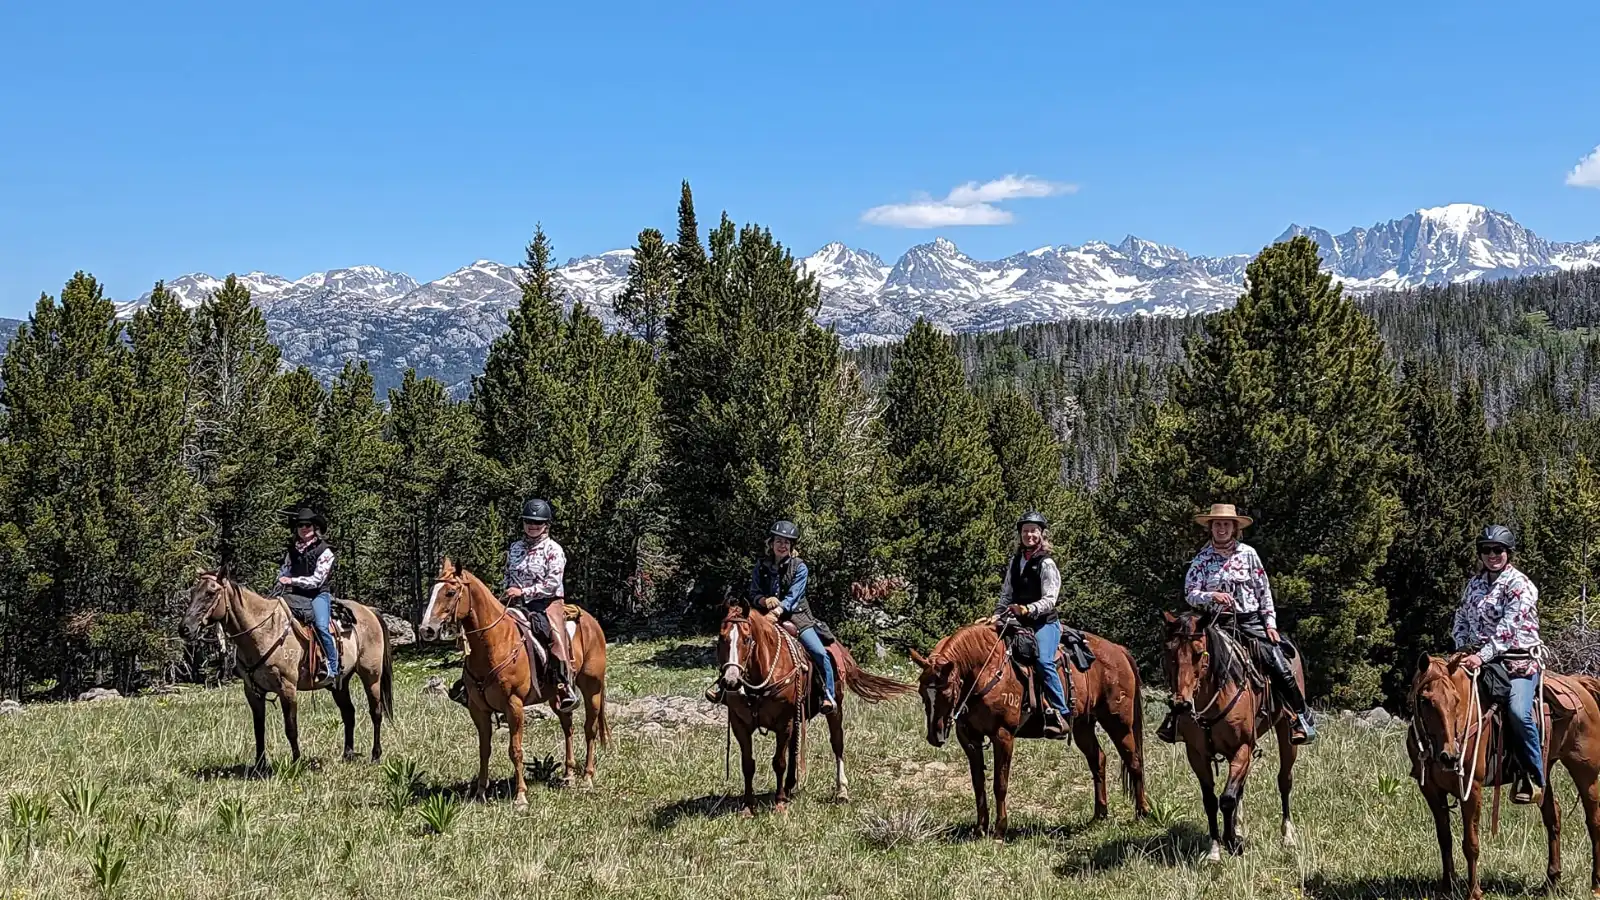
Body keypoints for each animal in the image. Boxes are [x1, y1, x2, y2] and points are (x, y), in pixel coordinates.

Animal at [180, 570, 392, 768]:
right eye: (193, 592)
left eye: (210, 593)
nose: (184, 628)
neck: (263, 631)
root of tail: (369, 611)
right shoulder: (253, 692)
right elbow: (259, 729)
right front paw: (259, 766)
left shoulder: (287, 688)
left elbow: (291, 728)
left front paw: (296, 763)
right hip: (340, 682)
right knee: (349, 713)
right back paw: (347, 755)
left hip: (371, 676)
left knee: (376, 712)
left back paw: (375, 755)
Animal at [419, 554, 604, 807]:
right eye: (432, 590)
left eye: (450, 592)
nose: (426, 629)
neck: (494, 643)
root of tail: (592, 621)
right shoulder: (478, 709)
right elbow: (484, 749)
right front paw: (480, 793)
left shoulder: (513, 706)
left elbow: (515, 750)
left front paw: (521, 797)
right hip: (558, 697)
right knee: (568, 727)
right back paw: (568, 776)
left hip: (592, 688)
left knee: (590, 729)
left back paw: (587, 778)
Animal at [713, 595, 915, 813]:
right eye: (721, 639)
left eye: (747, 639)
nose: (731, 681)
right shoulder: (739, 724)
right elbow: (748, 764)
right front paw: (748, 806)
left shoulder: (783, 723)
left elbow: (779, 762)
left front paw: (779, 803)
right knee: (795, 748)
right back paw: (790, 786)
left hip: (835, 709)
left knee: (837, 744)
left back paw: (841, 791)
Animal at [915, 614, 1152, 832]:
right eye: (922, 693)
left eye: (947, 692)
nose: (935, 736)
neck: (986, 669)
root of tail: (1118, 650)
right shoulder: (969, 738)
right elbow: (978, 783)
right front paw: (981, 828)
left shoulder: (1003, 735)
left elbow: (1000, 783)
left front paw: (1000, 828)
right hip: (1083, 727)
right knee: (1098, 761)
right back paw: (1099, 815)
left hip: (1118, 722)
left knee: (1134, 761)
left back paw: (1142, 812)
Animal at [1408, 650, 1600, 896]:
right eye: (1424, 700)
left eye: (1456, 700)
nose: (1450, 756)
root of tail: (1580, 683)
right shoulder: (1430, 790)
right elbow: (1445, 839)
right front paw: (1447, 887)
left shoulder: (1472, 787)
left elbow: (1471, 843)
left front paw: (1474, 892)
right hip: (1543, 770)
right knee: (1553, 816)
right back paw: (1551, 882)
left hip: (1585, 771)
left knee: (1593, 821)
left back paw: (1595, 885)